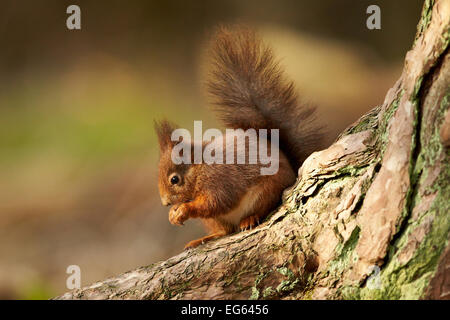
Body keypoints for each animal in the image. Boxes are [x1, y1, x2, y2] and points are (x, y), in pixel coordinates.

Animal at [155, 26, 324, 249]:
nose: (165, 202)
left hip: (266, 190)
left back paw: (249, 219)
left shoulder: (220, 179)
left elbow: (216, 201)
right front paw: (173, 214)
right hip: (215, 220)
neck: (200, 168)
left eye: (174, 179)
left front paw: (183, 210)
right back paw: (205, 237)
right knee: (225, 230)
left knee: (264, 207)